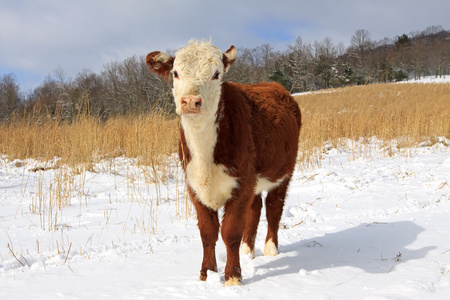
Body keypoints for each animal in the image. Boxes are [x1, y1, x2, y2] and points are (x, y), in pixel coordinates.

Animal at [148, 40, 300, 286]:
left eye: (216, 74)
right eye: (175, 73)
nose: (191, 101)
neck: (204, 157)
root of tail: (274, 86)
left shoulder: (240, 184)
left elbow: (230, 232)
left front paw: (232, 277)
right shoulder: (194, 186)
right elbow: (207, 232)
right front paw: (207, 274)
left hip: (283, 172)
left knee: (273, 207)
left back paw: (270, 249)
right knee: (256, 207)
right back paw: (248, 250)